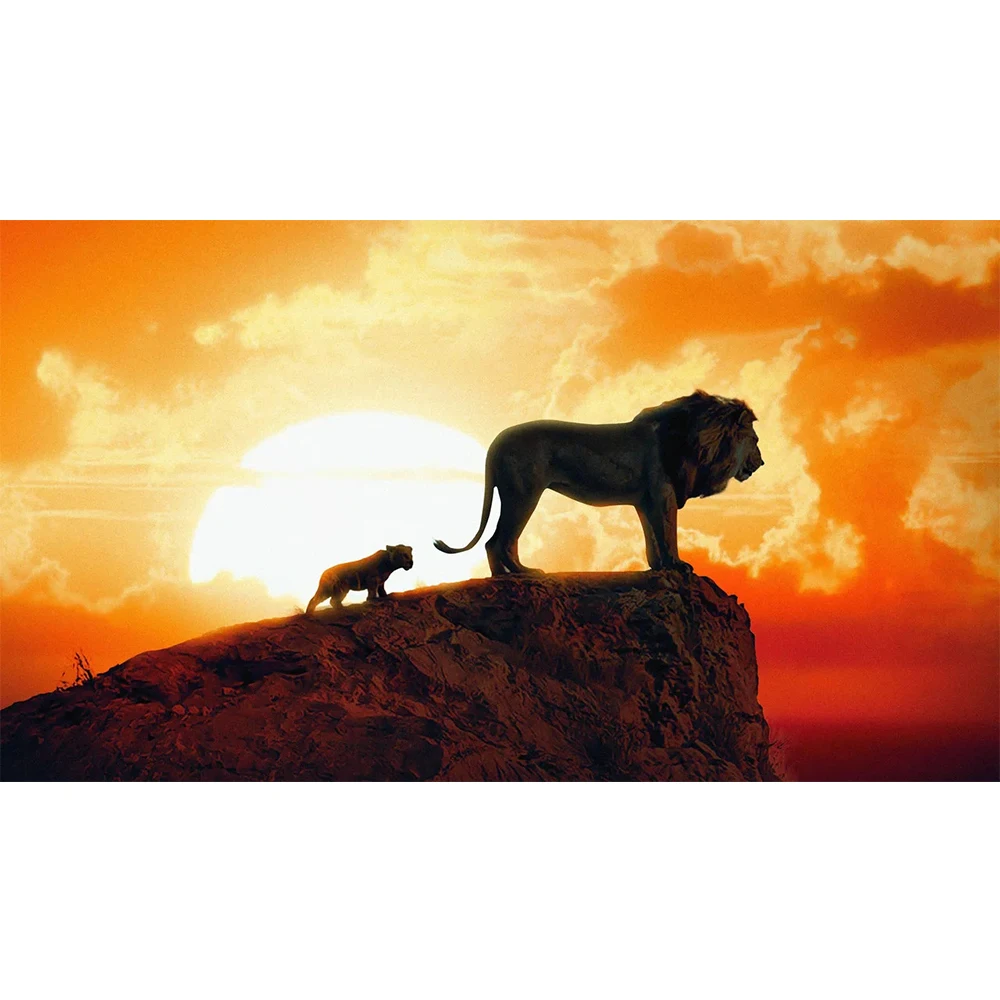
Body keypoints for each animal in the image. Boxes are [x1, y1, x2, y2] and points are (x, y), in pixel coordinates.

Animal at [434, 390, 763, 575]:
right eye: (755, 440)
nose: (761, 463)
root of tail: (495, 442)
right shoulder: (663, 495)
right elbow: (668, 533)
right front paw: (679, 566)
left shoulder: (646, 501)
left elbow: (652, 537)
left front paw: (658, 567)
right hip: (524, 493)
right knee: (499, 540)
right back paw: (523, 573)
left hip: (517, 495)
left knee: (496, 541)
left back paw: (505, 577)